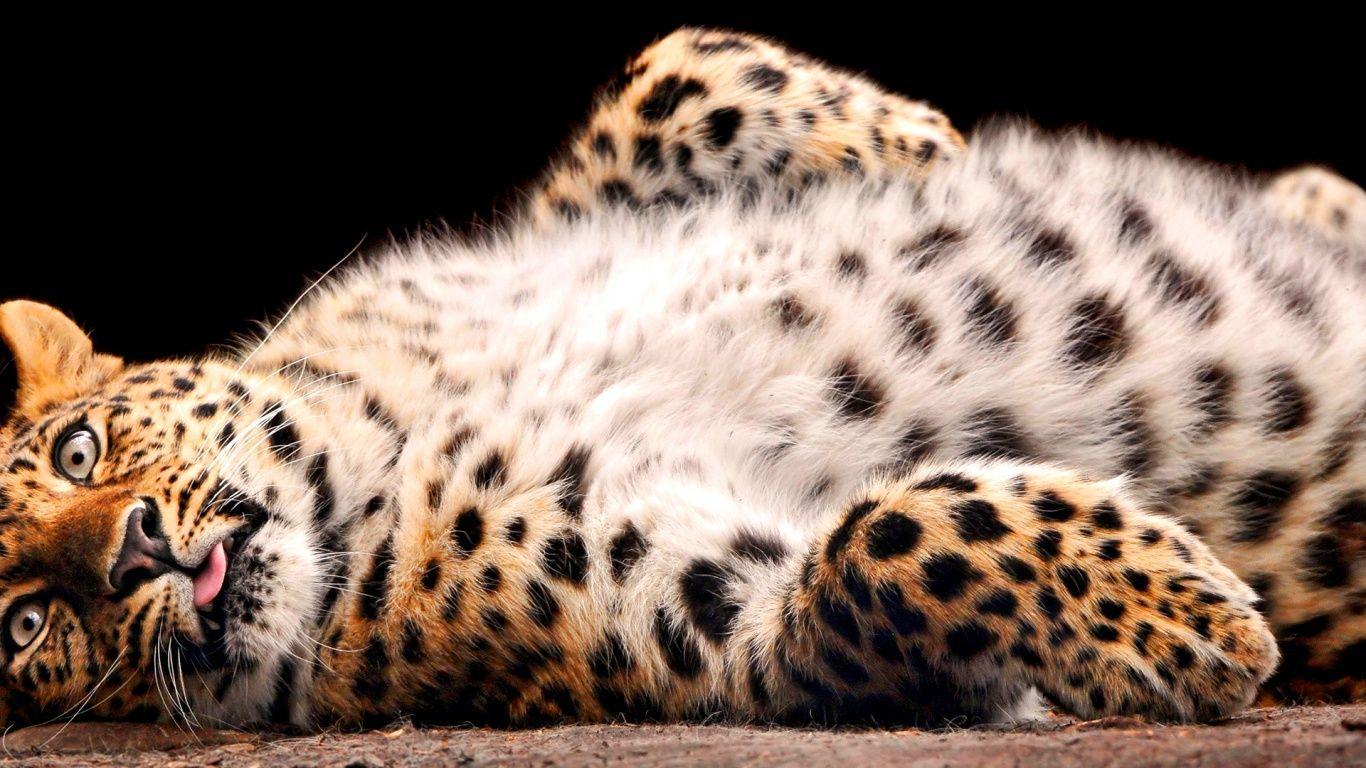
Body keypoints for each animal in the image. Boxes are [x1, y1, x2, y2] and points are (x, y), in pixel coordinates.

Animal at [0, 27, 1361, 734]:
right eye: (29, 625)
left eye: (81, 451)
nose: (130, 552)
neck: (379, 453)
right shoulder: (706, 627)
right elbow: (883, 540)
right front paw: (1180, 618)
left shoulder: (540, 234)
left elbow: (670, 73)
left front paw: (910, 144)